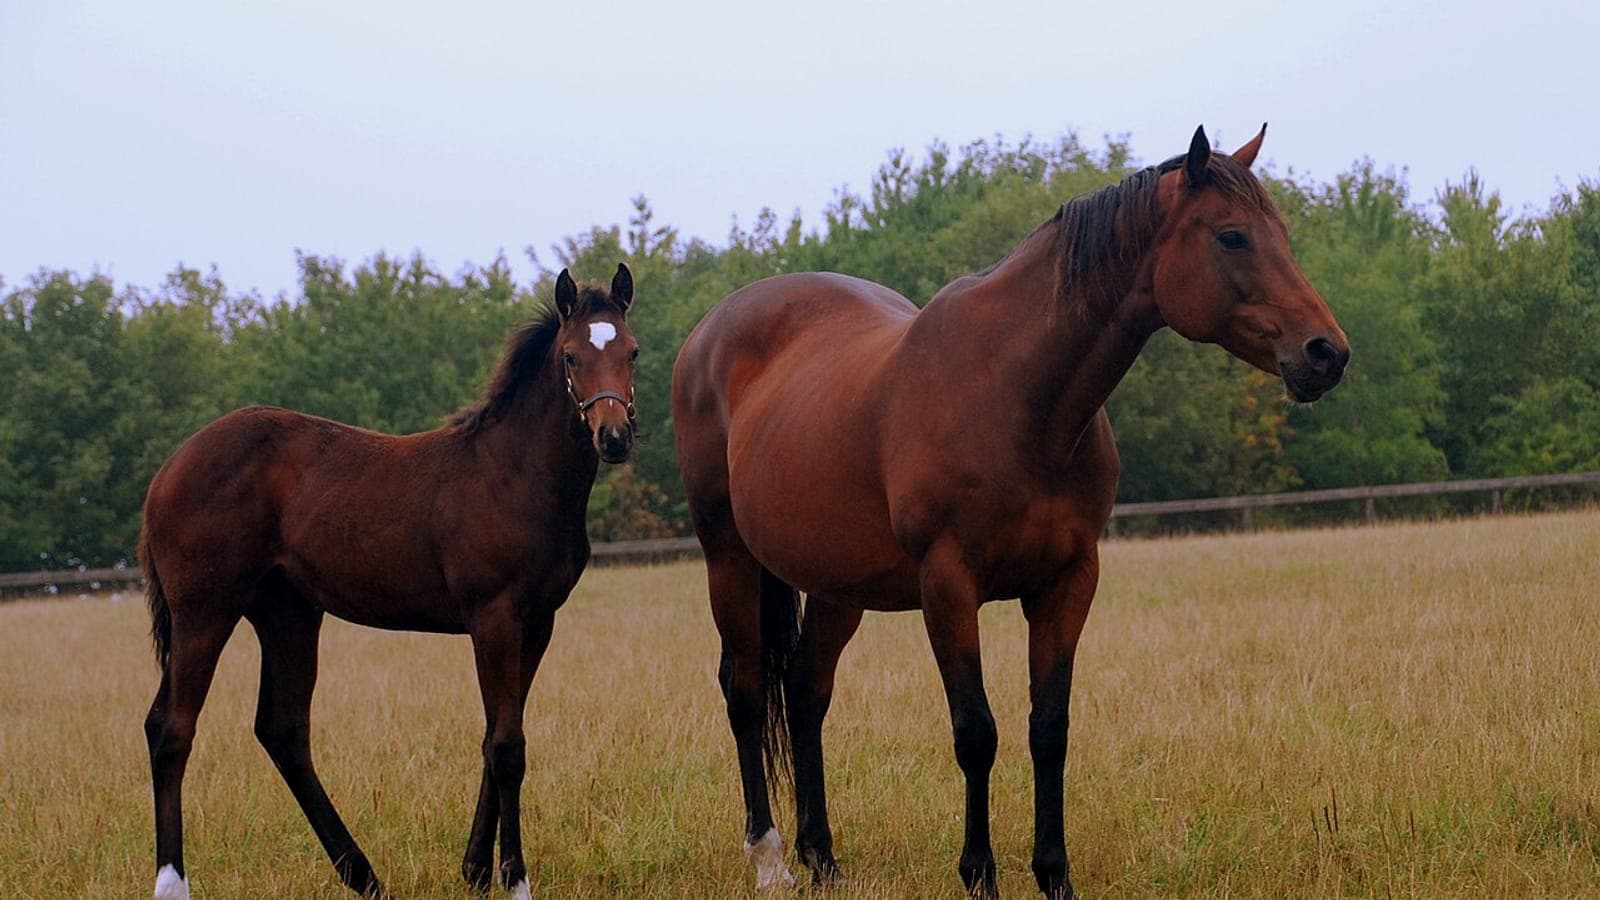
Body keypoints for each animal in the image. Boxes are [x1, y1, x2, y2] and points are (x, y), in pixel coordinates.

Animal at [140, 265, 638, 900]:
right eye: (572, 356)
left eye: (632, 351)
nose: (614, 436)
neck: (513, 475)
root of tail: (168, 472)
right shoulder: (493, 618)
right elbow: (507, 746)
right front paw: (515, 878)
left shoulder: (538, 623)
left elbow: (495, 736)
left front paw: (477, 870)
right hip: (203, 611)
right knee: (172, 729)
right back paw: (173, 881)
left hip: (287, 613)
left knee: (281, 729)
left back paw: (363, 874)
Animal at [671, 126, 1349, 898]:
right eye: (1232, 236)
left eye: (1281, 234)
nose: (1326, 353)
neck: (1017, 396)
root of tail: (710, 332)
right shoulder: (949, 585)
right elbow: (976, 731)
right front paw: (980, 875)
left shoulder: (1067, 582)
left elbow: (1048, 728)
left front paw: (1054, 875)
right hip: (728, 558)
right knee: (748, 690)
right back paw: (771, 859)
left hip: (839, 583)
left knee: (808, 689)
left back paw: (824, 859)